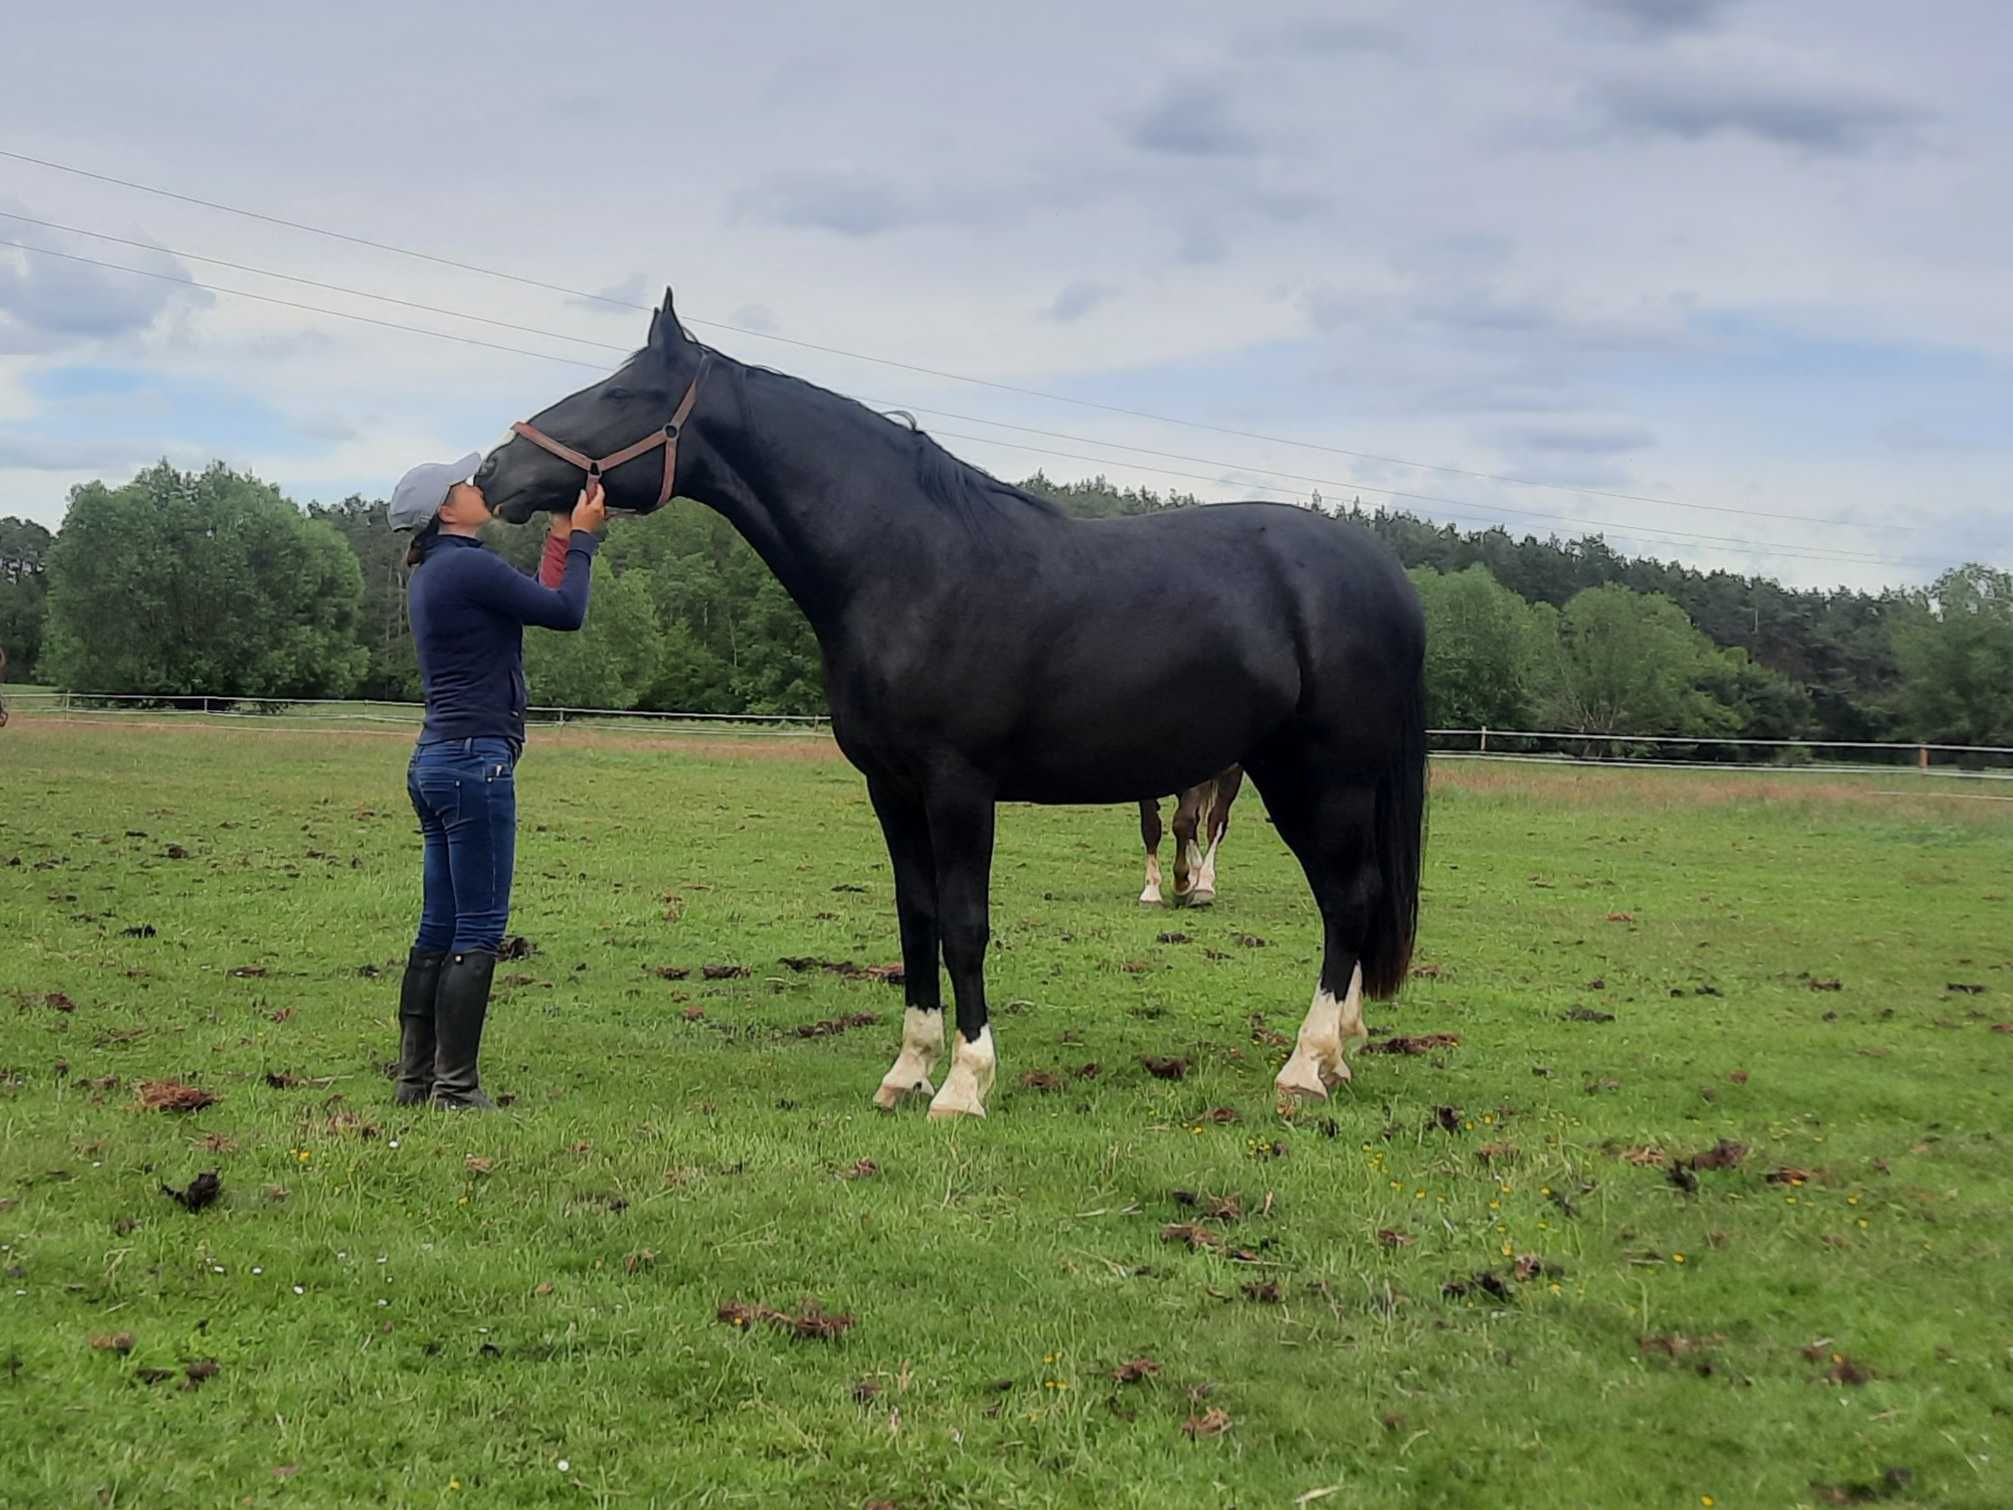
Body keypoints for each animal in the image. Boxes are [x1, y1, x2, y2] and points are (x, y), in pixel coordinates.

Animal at [477, 289, 1425, 1119]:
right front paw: (907, 1072)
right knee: (1351, 899)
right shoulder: (892, 789)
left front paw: (966, 1084)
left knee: (1347, 900)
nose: (493, 471)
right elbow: (917, 919)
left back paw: (1304, 1066)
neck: (907, 564)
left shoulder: (958, 787)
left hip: (1321, 777)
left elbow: (965, 924)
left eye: (624, 393)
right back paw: (1340, 1053)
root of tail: (1379, 574)